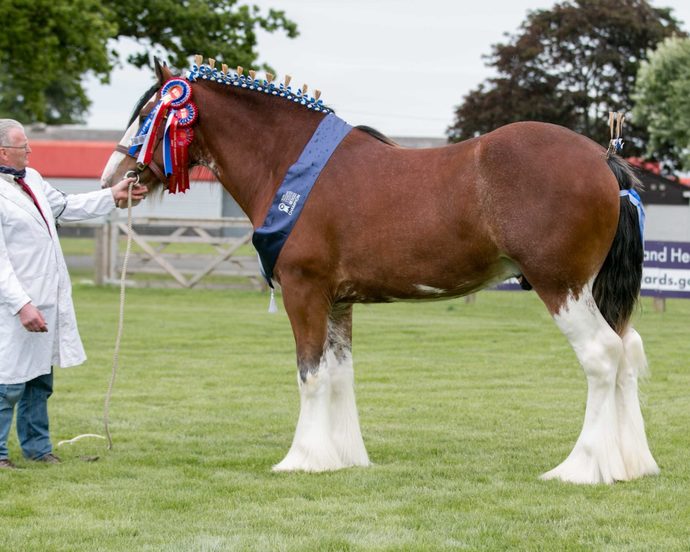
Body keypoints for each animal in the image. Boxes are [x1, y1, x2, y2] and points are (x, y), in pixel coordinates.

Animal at [101, 58, 659, 484]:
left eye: (149, 114)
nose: (114, 179)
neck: (292, 166)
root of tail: (604, 159)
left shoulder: (304, 292)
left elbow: (310, 375)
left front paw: (301, 459)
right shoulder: (338, 301)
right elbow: (339, 374)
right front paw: (342, 457)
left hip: (561, 287)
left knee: (602, 357)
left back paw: (580, 468)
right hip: (593, 292)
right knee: (628, 352)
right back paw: (631, 465)